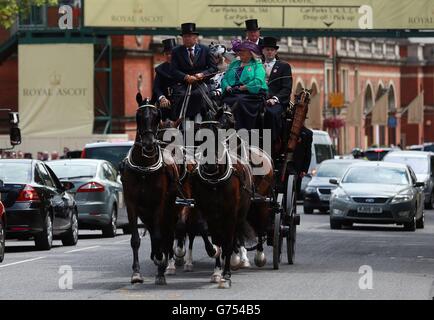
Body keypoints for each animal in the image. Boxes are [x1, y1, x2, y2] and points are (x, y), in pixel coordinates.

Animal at [120, 93, 180, 284]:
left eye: (156, 117)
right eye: (138, 116)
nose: (148, 143)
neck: (144, 169)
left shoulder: (159, 204)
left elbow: (160, 236)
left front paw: (160, 267)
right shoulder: (132, 204)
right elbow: (135, 239)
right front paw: (136, 273)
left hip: (170, 208)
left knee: (166, 233)